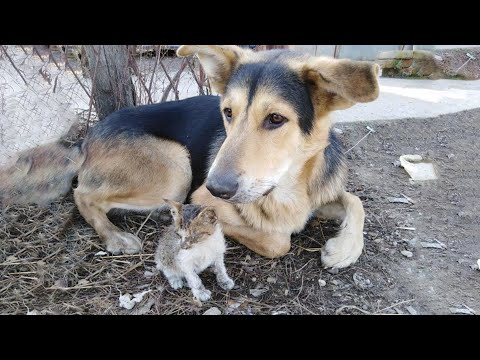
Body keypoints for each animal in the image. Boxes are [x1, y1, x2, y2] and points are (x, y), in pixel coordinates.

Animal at [0, 45, 382, 268]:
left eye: (276, 119)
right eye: (227, 113)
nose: (217, 188)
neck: (288, 185)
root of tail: (88, 137)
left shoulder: (322, 193)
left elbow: (355, 200)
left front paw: (344, 248)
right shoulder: (201, 195)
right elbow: (278, 241)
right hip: (175, 168)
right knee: (83, 193)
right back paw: (115, 235)